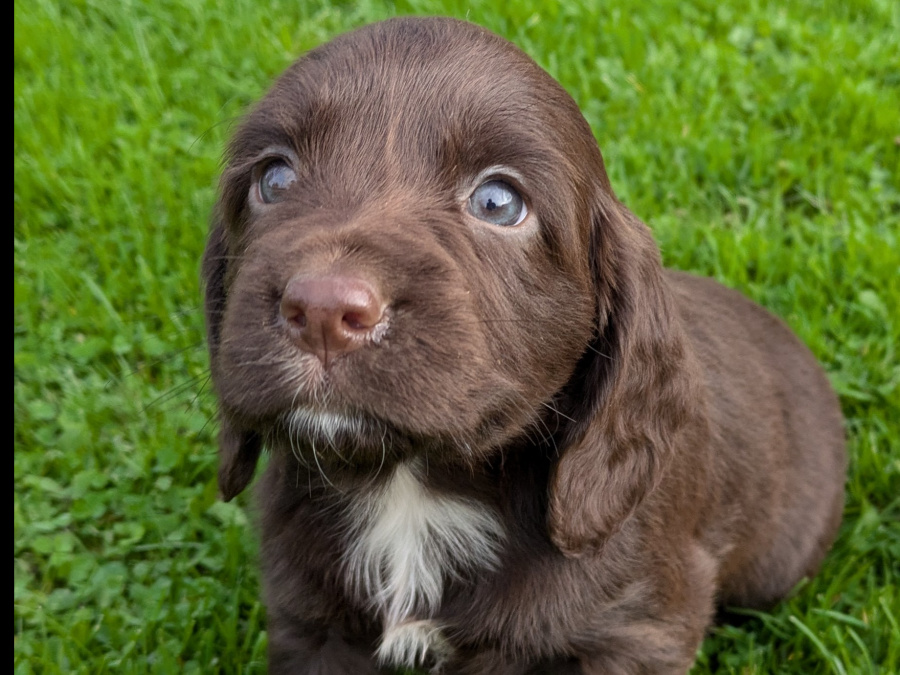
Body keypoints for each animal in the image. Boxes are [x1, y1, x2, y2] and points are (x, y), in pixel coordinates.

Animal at [202, 17, 844, 675]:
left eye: (498, 202)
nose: (323, 311)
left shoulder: (634, 631)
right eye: (274, 178)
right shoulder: (311, 625)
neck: (410, 491)